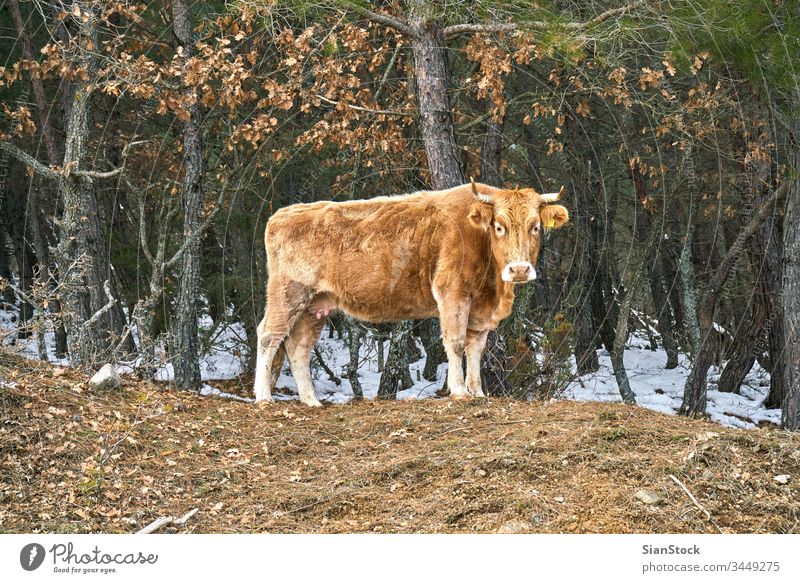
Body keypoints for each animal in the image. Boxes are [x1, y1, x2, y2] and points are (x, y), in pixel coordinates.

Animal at [256, 181, 568, 406]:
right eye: (500, 226)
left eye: (536, 227)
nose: (519, 269)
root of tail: (282, 214)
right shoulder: (452, 294)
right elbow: (455, 343)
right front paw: (458, 391)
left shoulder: (480, 312)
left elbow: (475, 349)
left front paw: (478, 392)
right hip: (288, 295)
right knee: (268, 336)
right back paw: (264, 397)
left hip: (314, 306)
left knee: (298, 349)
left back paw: (312, 402)